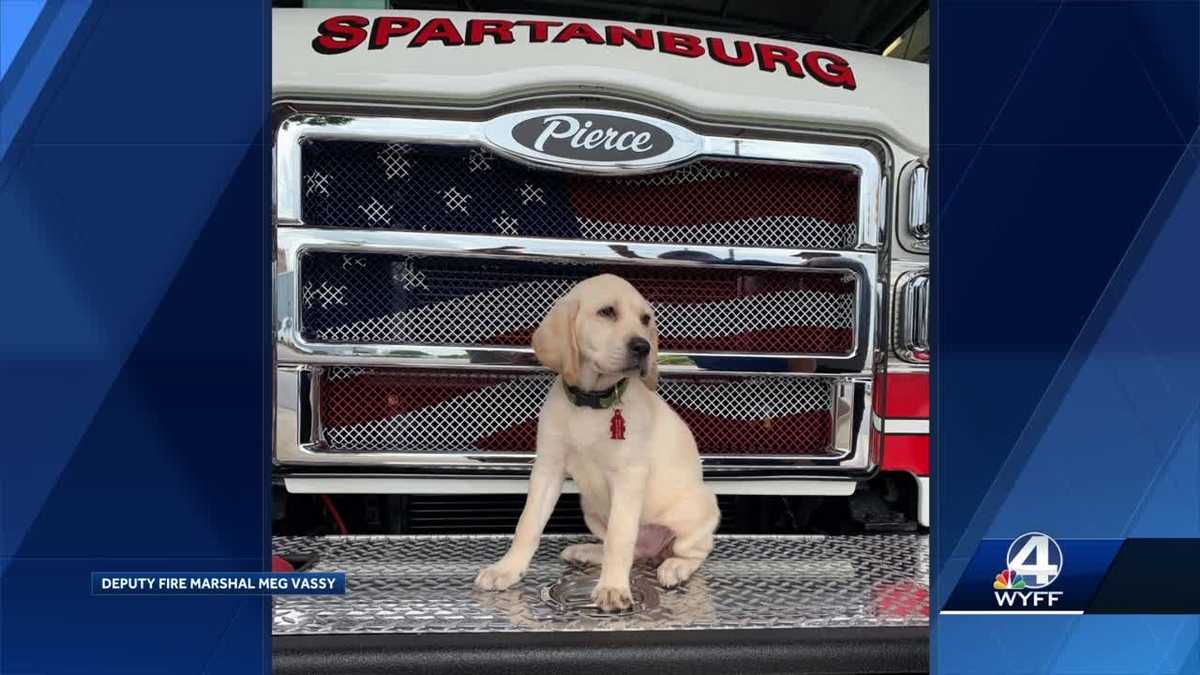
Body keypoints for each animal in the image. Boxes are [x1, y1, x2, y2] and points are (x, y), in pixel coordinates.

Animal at [472, 270, 715, 607]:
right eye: (607, 312)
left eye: (645, 319)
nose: (643, 347)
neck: (591, 402)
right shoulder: (547, 468)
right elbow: (528, 524)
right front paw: (507, 569)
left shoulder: (629, 476)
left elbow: (619, 537)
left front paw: (613, 587)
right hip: (591, 509)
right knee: (635, 551)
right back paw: (587, 552)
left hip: (697, 510)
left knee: (693, 551)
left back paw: (675, 567)